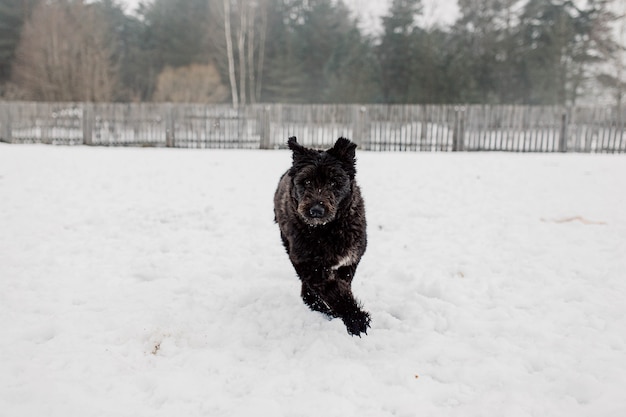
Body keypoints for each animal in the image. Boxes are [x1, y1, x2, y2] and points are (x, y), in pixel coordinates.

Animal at [274, 136, 370, 334]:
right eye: (307, 182)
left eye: (334, 182)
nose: (316, 210)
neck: (326, 230)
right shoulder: (309, 263)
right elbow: (332, 290)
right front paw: (355, 318)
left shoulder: (350, 259)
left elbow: (342, 285)